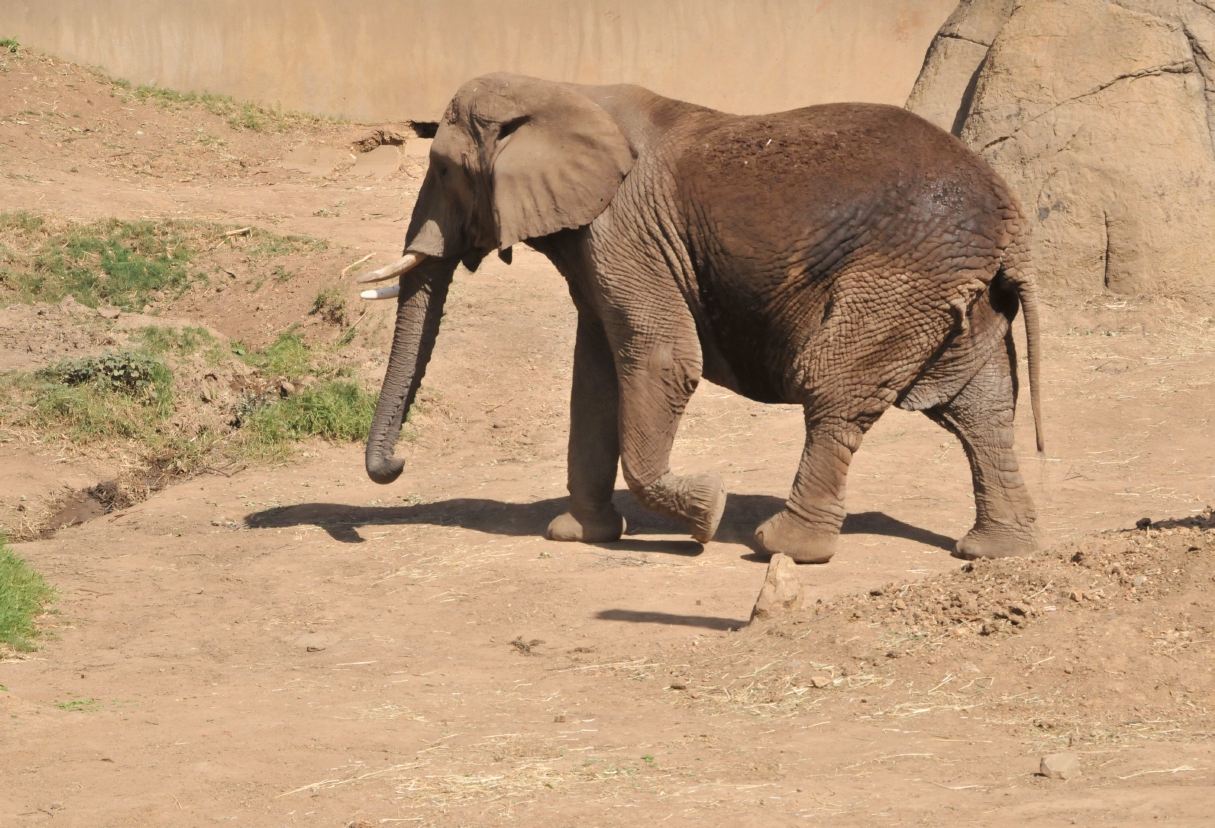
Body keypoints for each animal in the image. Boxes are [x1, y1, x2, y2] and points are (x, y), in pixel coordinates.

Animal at [357, 74, 1044, 561]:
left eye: (443, 168)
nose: (397, 468)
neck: (560, 89)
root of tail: (1011, 217)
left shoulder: (625, 229)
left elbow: (661, 359)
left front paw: (708, 513)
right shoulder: (604, 242)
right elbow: (597, 374)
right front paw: (577, 535)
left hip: (899, 277)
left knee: (834, 390)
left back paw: (781, 547)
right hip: (956, 288)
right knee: (979, 407)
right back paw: (993, 551)